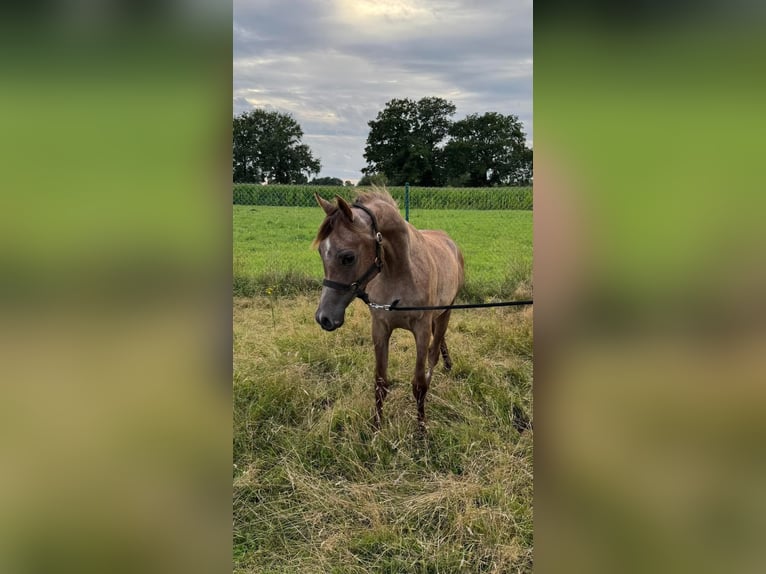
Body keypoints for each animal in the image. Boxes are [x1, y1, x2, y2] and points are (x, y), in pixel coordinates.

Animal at [313, 188, 464, 428]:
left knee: (435, 350)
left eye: (348, 257)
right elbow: (380, 381)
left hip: (446, 312)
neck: (399, 272)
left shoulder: (421, 331)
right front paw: (376, 425)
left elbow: (419, 384)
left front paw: (421, 429)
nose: (324, 318)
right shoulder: (380, 327)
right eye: (320, 251)